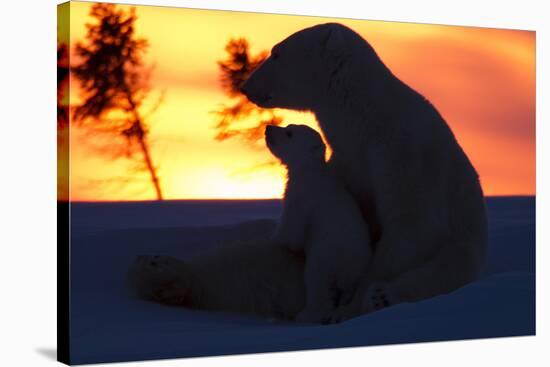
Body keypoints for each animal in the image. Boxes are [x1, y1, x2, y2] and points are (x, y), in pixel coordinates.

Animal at [266, 124, 374, 324]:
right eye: (289, 126)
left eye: (289, 133)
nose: (268, 128)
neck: (311, 170)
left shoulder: (301, 196)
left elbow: (293, 234)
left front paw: (276, 237)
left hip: (324, 256)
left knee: (317, 284)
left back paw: (307, 314)